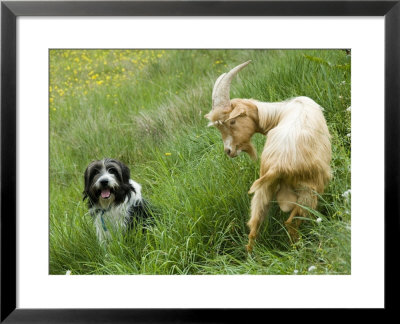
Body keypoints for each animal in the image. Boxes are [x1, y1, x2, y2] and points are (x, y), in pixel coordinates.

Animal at [205, 61, 332, 253]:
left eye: (232, 121)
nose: (228, 151)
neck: (279, 111)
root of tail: (278, 166)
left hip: (263, 189)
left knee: (254, 226)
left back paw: (252, 255)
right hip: (309, 189)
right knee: (291, 223)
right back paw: (299, 249)